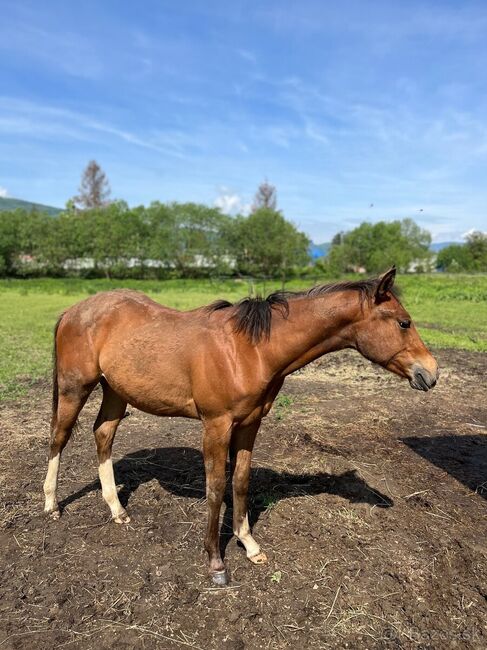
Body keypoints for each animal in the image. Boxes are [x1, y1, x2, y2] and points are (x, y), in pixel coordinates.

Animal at [42, 266, 438, 584]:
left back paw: (117, 510)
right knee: (58, 437)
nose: (431, 373)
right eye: (404, 322)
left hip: (115, 390)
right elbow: (216, 487)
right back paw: (51, 505)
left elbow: (242, 482)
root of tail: (73, 311)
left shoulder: (249, 425)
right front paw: (216, 561)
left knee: (103, 435)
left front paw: (249, 544)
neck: (250, 349)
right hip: (75, 387)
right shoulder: (216, 426)